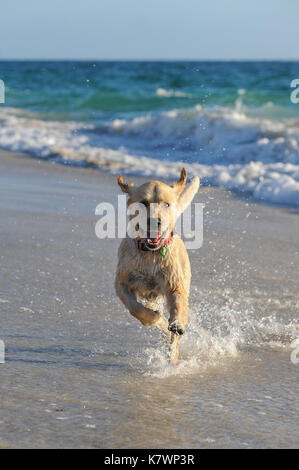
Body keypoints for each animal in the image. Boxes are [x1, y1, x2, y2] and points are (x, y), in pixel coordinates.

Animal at [116, 169, 200, 364]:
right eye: (143, 203)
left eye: (166, 204)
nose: (155, 221)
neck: (151, 254)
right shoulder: (121, 284)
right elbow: (136, 308)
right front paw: (154, 317)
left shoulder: (176, 285)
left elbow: (179, 305)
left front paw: (176, 323)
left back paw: (173, 356)